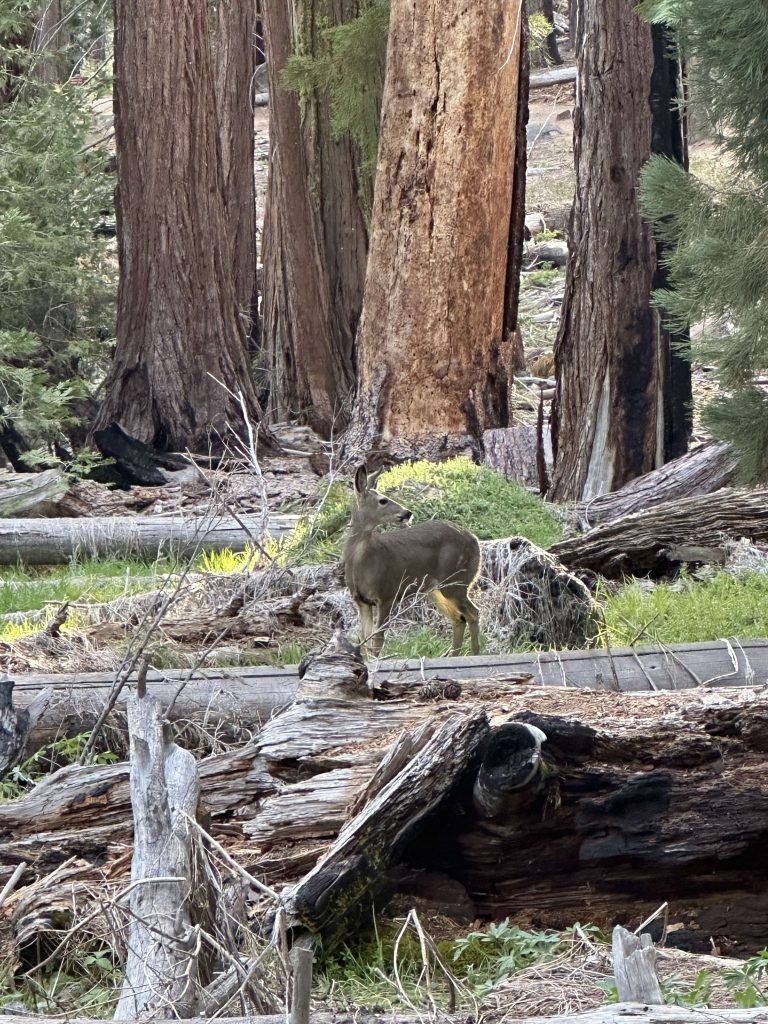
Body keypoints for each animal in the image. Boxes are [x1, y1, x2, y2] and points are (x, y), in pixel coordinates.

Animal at [344, 465, 482, 658]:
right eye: (383, 500)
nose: (407, 513)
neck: (361, 563)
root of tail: (476, 540)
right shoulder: (361, 601)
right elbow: (366, 640)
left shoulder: (387, 594)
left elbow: (377, 639)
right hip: (435, 589)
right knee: (458, 617)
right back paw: (455, 654)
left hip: (457, 580)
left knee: (473, 613)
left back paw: (475, 654)